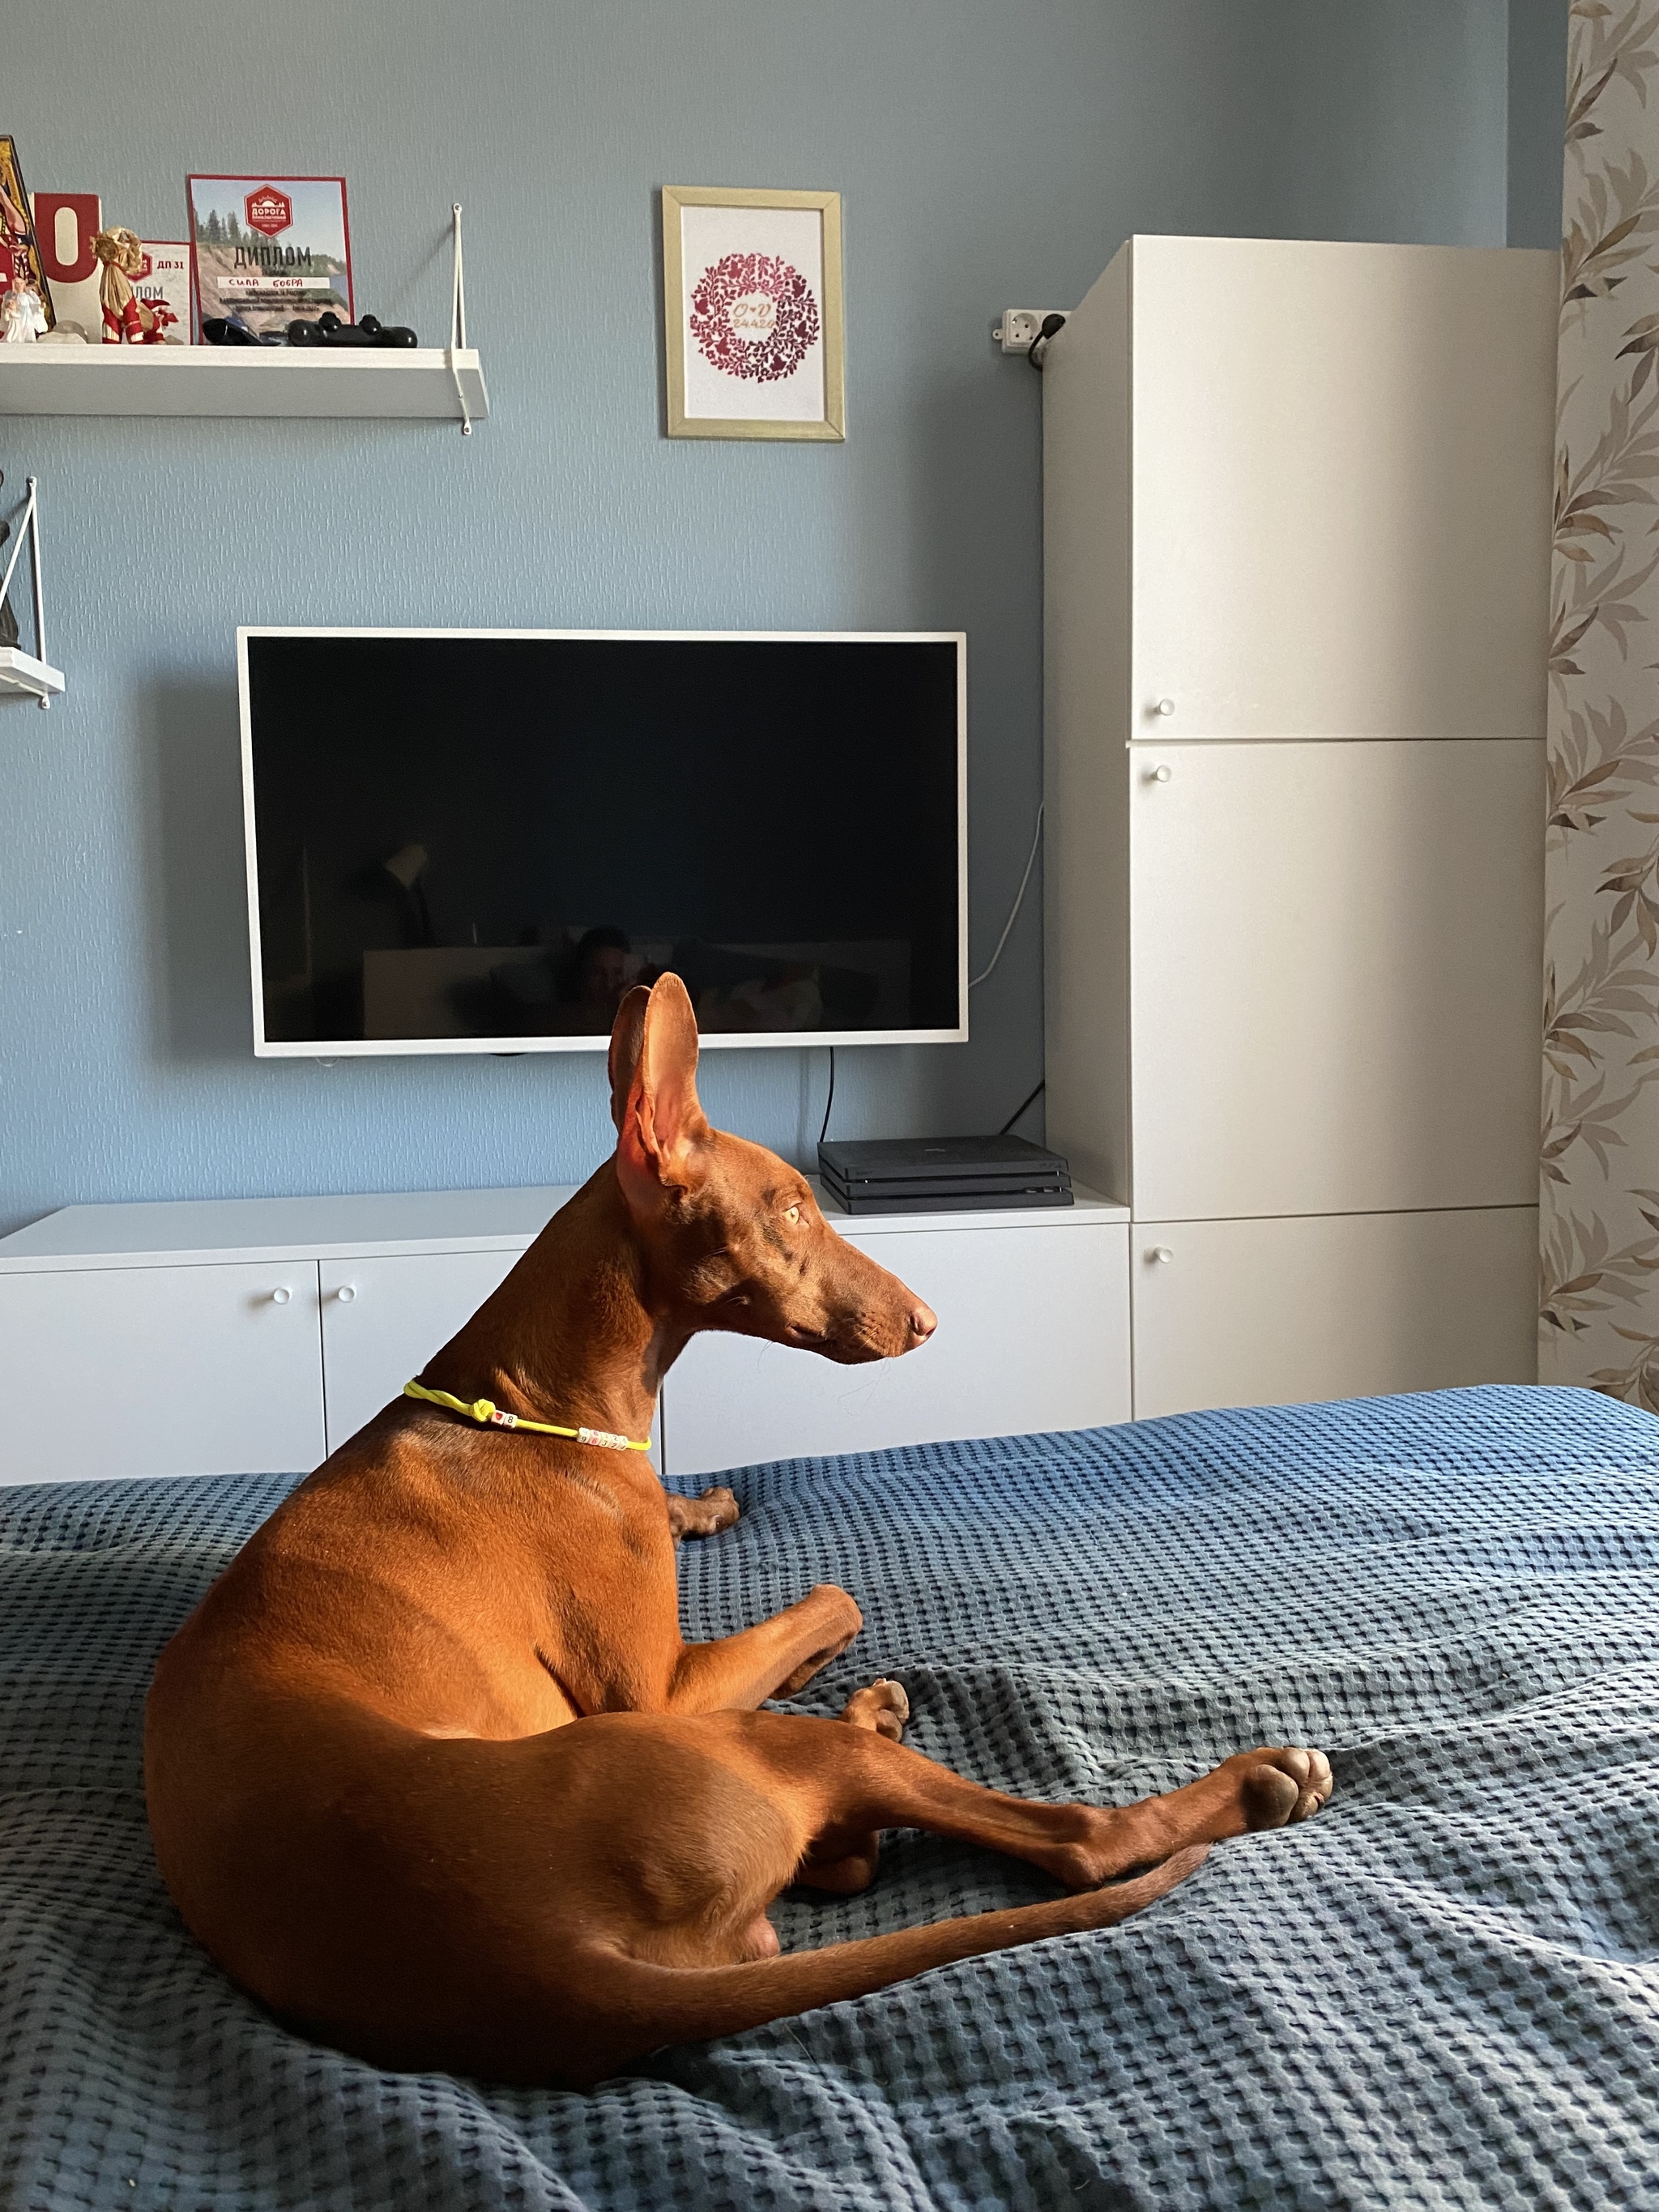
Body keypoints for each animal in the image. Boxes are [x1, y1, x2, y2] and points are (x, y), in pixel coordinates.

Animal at [145, 973, 1331, 2087]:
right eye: (793, 1207)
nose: (929, 1321)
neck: (535, 1400)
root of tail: (547, 1964)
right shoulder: (663, 1686)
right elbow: (833, 1594)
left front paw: (700, 1506)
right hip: (726, 1750)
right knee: (1070, 1841)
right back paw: (1247, 1779)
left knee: (847, 1861)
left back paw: (874, 1712)